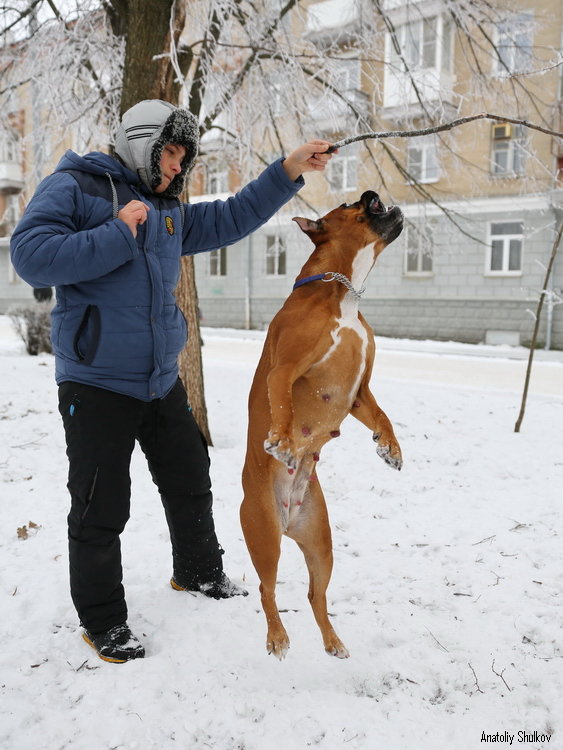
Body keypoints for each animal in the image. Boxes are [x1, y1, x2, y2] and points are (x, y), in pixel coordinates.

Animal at [240, 191, 404, 660]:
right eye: (350, 205)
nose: (369, 192)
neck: (342, 294)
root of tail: (288, 518)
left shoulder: (361, 391)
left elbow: (382, 415)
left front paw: (390, 446)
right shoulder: (284, 369)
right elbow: (281, 405)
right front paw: (280, 439)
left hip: (320, 543)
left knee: (317, 595)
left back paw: (332, 640)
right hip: (264, 535)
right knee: (267, 590)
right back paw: (277, 636)